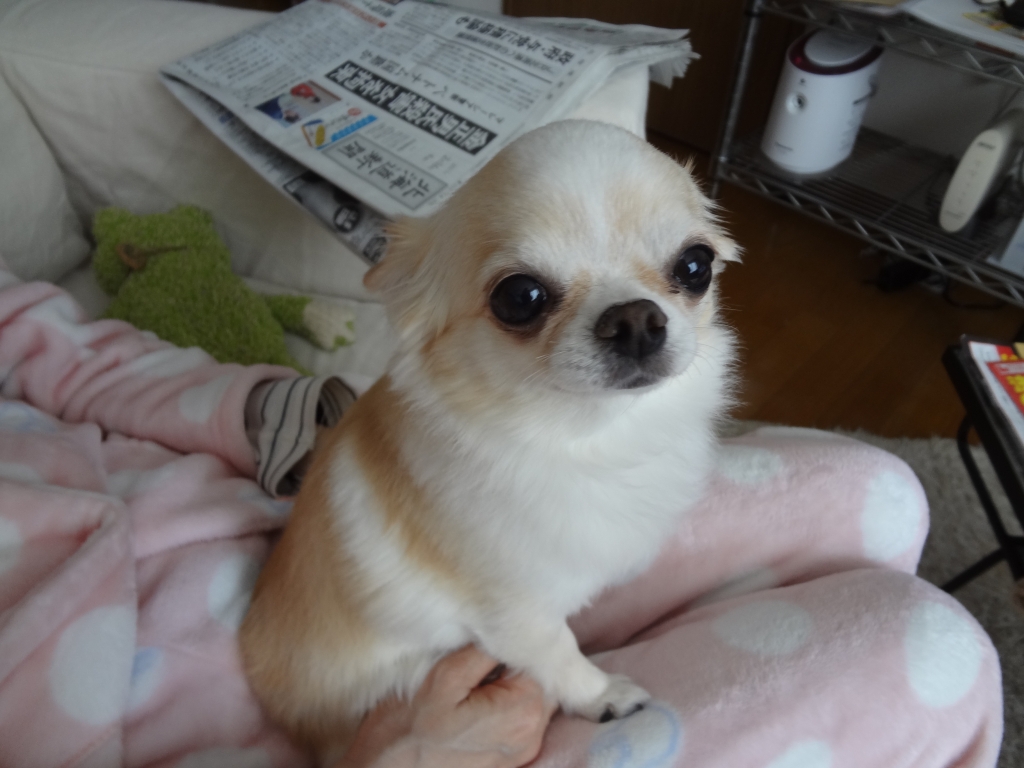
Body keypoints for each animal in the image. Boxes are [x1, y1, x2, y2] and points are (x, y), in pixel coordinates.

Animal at [239, 119, 739, 762]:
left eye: (696, 266)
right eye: (520, 297)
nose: (635, 319)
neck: (584, 437)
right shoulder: (515, 615)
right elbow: (559, 652)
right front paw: (601, 694)